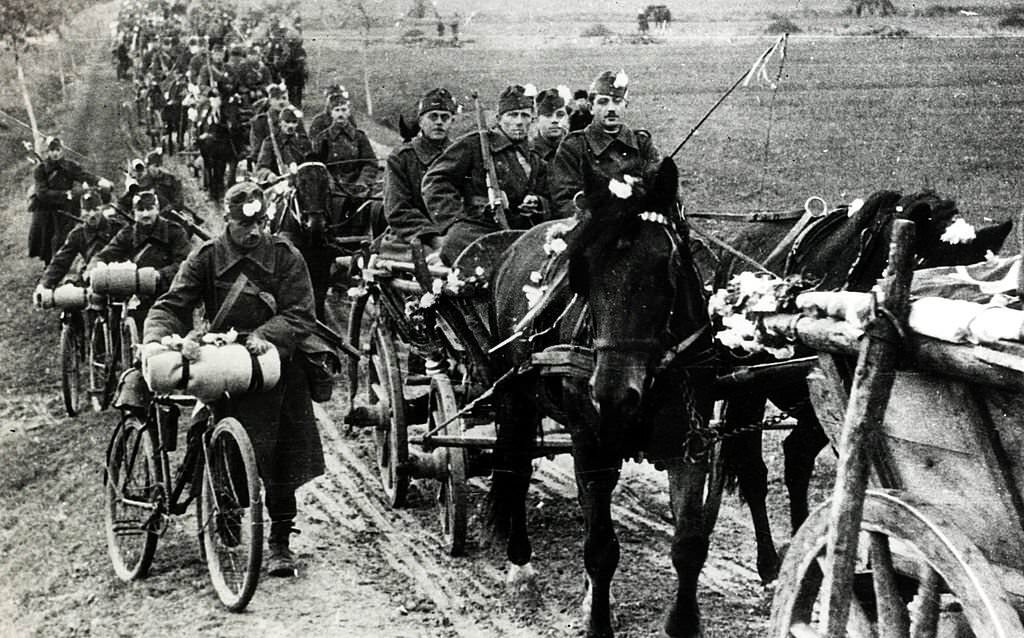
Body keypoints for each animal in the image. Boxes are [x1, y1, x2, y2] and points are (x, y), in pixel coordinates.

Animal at [489, 155, 720, 638]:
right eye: (582, 271)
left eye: (667, 266)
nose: (612, 393)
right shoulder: (592, 446)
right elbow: (600, 548)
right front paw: (597, 622)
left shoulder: (686, 448)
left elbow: (689, 544)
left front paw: (682, 622)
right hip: (515, 399)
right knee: (516, 471)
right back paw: (521, 567)